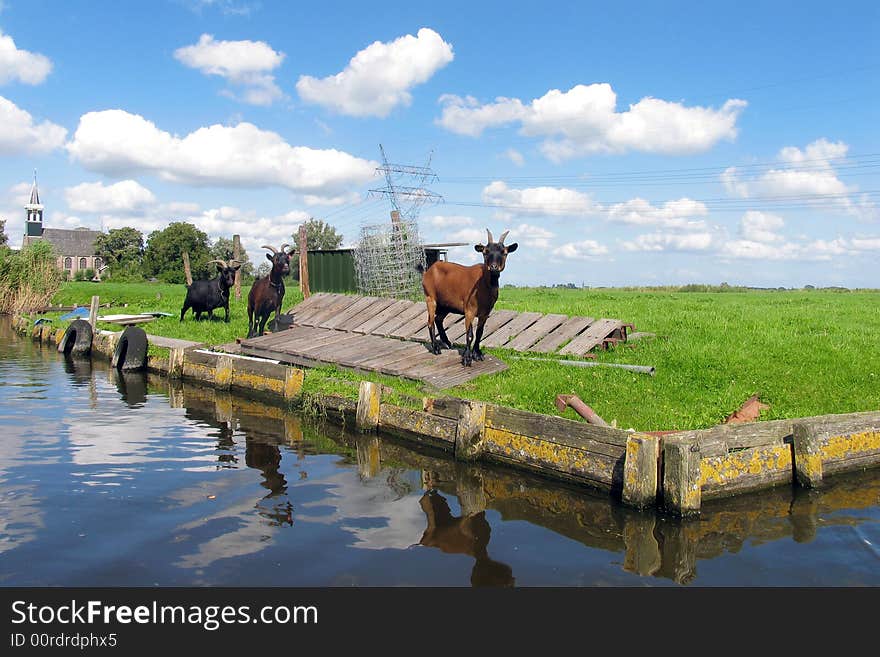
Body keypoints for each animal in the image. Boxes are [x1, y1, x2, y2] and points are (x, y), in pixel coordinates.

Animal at [418, 228, 516, 366]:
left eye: (504, 252)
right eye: (485, 252)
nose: (493, 267)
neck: (484, 285)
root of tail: (428, 271)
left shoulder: (485, 313)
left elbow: (479, 333)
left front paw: (478, 354)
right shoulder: (469, 310)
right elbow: (470, 334)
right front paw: (467, 358)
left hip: (445, 304)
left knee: (438, 319)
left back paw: (447, 343)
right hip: (430, 298)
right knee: (430, 321)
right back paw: (436, 348)